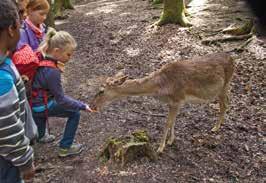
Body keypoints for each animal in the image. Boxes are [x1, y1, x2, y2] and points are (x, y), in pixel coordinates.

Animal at [91, 53, 235, 153]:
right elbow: (173, 121)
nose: (92, 105)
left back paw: (215, 127)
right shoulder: (175, 103)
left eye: (101, 91)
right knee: (226, 102)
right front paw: (171, 141)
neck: (161, 87)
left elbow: (167, 123)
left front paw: (160, 148)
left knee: (224, 104)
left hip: (224, 85)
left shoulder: (177, 99)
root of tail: (233, 59)